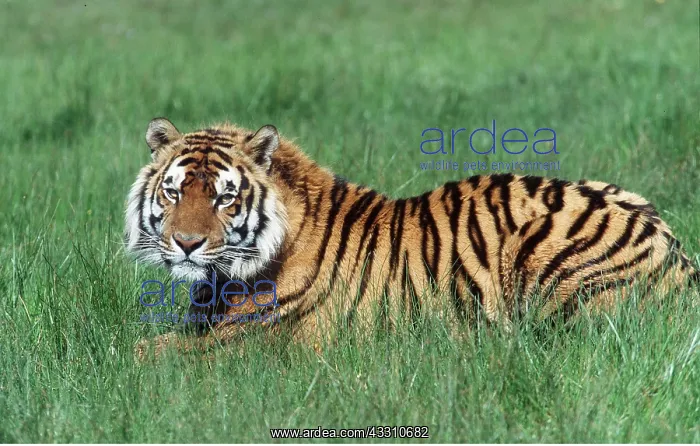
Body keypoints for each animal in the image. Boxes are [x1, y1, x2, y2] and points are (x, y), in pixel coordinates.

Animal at [126, 117, 699, 358]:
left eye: (224, 198)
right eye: (174, 193)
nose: (187, 244)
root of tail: (675, 251)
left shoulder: (258, 341)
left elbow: (141, 350)